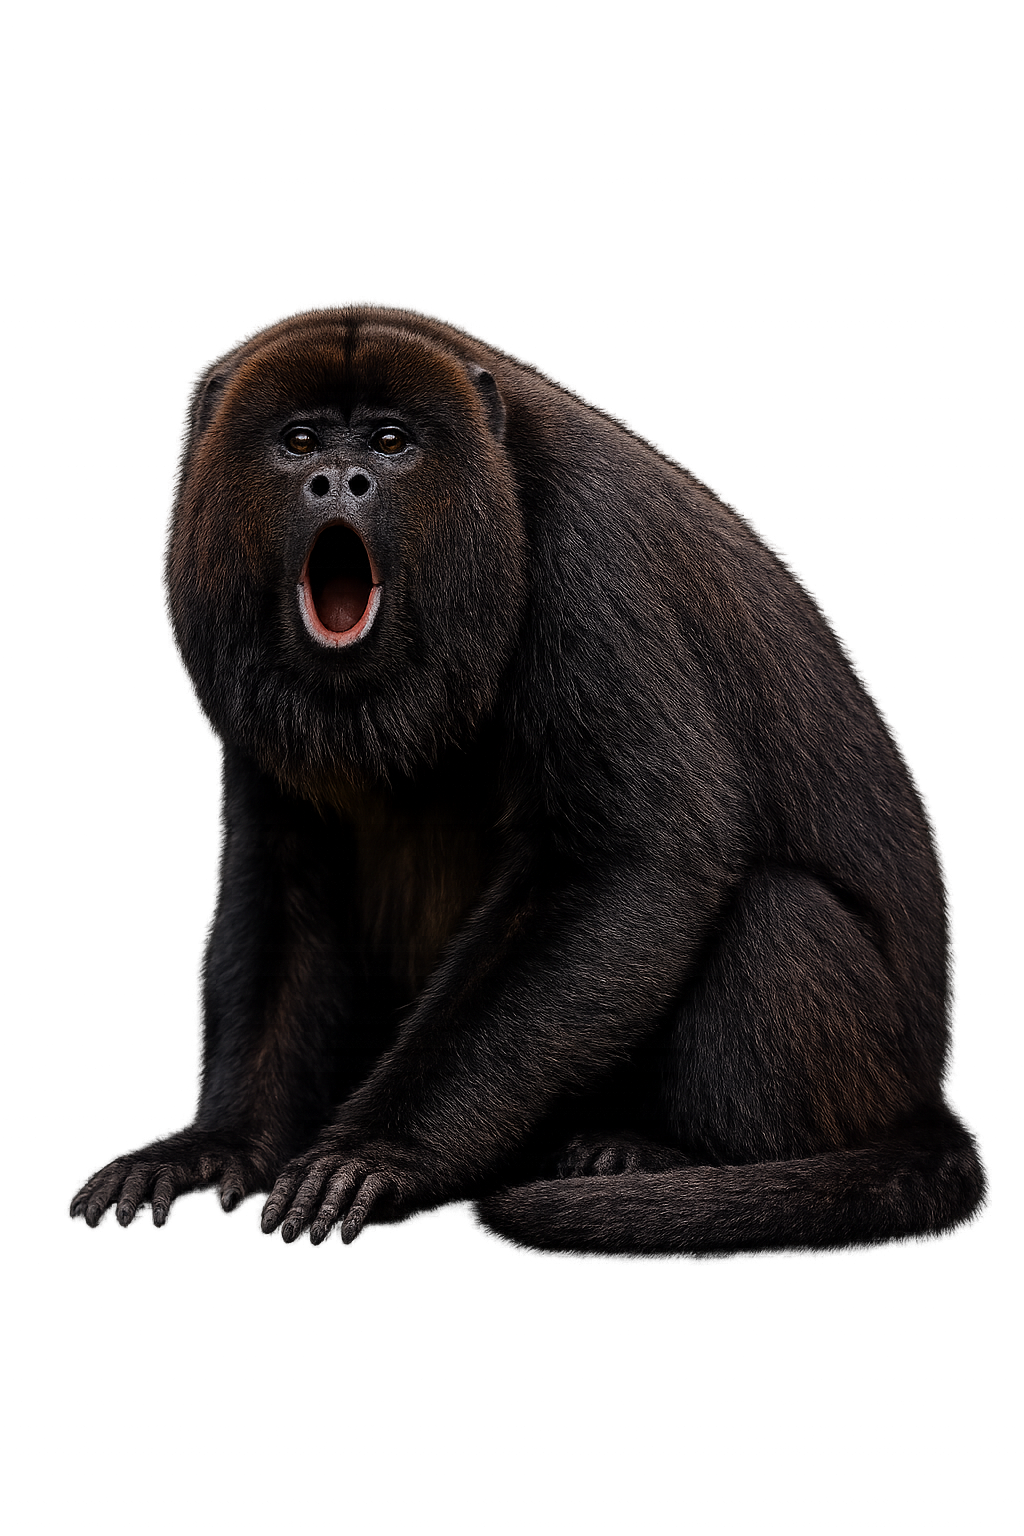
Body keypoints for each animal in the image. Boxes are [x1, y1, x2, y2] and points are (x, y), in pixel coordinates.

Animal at [71, 305, 983, 1254]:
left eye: (391, 442)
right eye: (299, 441)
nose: (341, 481)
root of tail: (923, 1090)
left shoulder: (587, 553)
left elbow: (638, 861)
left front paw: (376, 1153)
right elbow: (282, 890)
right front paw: (217, 1143)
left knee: (777, 915)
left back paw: (659, 1153)